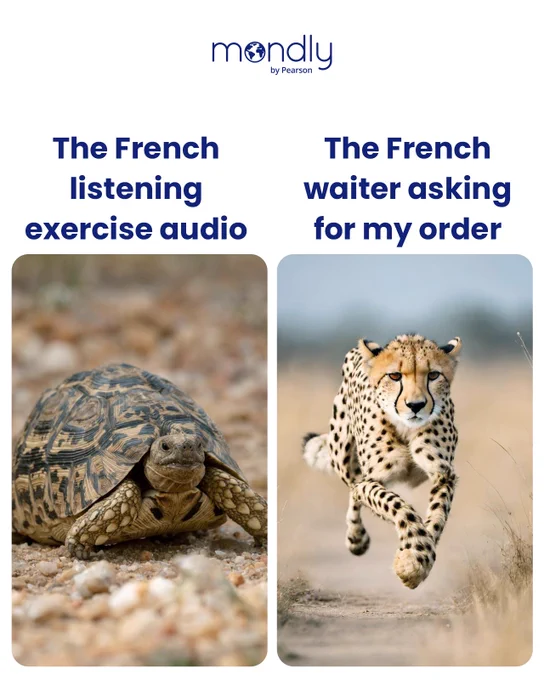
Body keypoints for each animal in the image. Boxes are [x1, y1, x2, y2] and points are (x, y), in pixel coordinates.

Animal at [303, 333, 462, 589]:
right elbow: (396, 505)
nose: (415, 405)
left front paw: (417, 558)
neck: (405, 427)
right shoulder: (372, 479)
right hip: (342, 452)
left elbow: (437, 516)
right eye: (394, 376)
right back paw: (356, 537)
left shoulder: (442, 472)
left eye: (433, 375)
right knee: (353, 490)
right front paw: (413, 559)